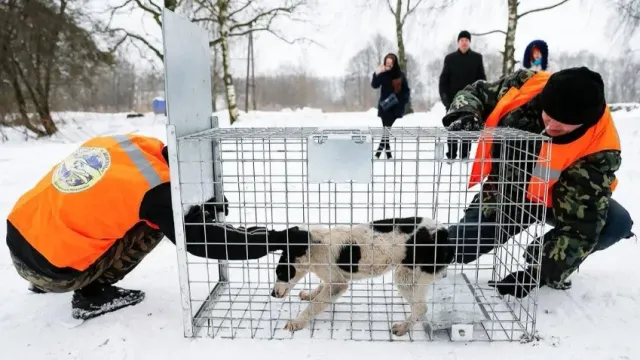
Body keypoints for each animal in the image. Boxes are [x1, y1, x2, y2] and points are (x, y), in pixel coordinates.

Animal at [270, 217, 456, 338]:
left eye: (280, 272)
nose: (272, 294)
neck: (313, 245)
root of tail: (443, 233)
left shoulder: (338, 283)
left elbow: (315, 305)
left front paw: (297, 322)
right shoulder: (332, 278)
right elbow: (320, 288)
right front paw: (310, 294)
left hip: (406, 275)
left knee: (420, 308)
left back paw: (403, 328)